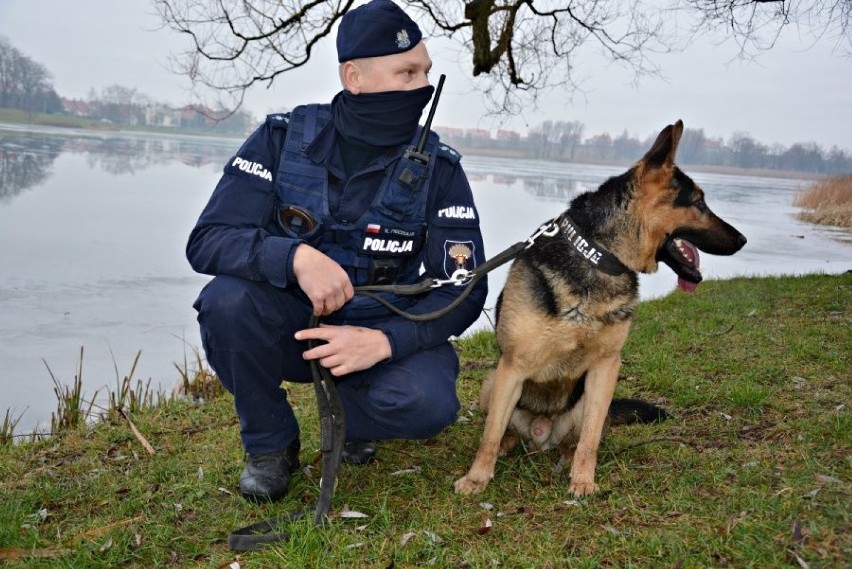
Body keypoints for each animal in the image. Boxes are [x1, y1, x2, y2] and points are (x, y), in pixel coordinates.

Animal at [452, 121, 744, 496]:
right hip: (493, 382)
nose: (742, 240)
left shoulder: (606, 368)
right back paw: (507, 446)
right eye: (698, 202)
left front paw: (583, 481)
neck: (599, 256)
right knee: (502, 431)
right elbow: (489, 436)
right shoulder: (513, 367)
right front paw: (477, 478)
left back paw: (566, 457)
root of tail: (541, 436)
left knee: (577, 439)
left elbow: (590, 439)